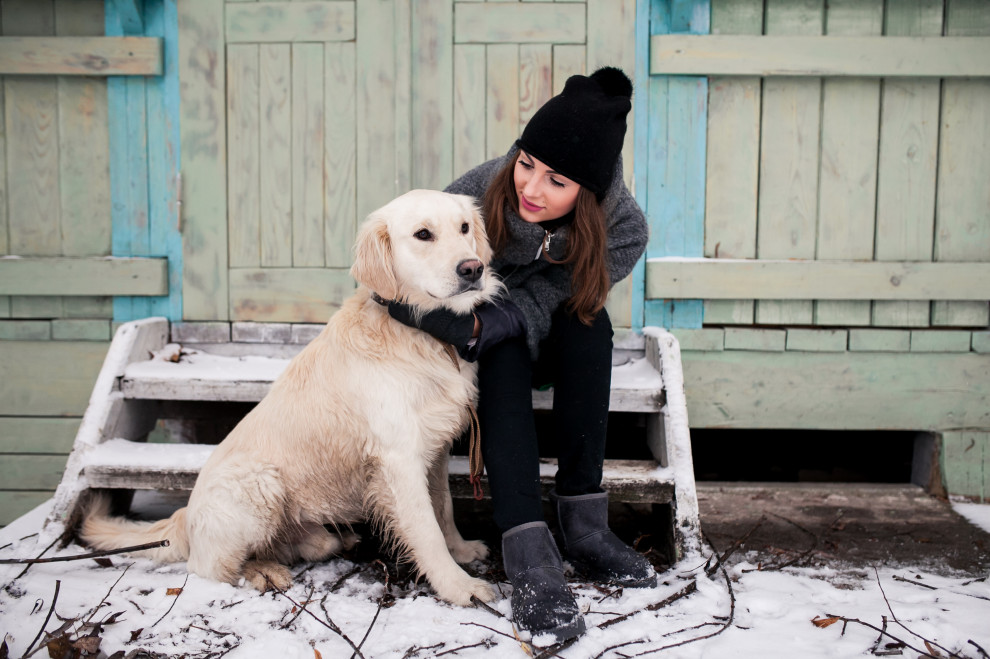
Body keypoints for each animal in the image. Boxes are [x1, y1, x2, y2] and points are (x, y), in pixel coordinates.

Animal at [82, 188, 504, 604]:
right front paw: (460, 587)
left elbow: (444, 508)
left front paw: (462, 550)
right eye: (422, 234)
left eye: (464, 228)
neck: (423, 333)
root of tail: (186, 513)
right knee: (209, 568)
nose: (472, 269)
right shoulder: (399, 460)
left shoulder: (434, 450)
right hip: (259, 484)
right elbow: (427, 531)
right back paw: (262, 573)